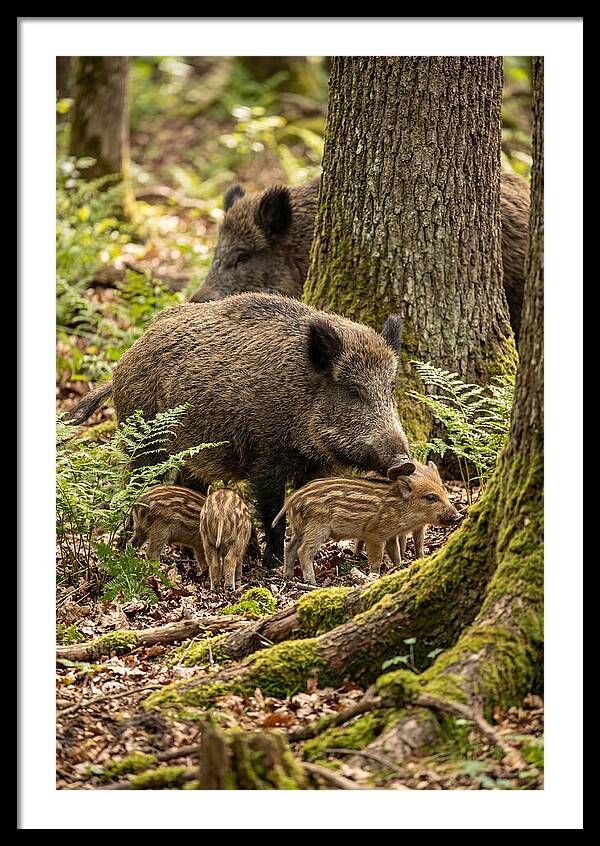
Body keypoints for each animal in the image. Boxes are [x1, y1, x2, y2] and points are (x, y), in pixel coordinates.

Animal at [65, 293, 413, 569]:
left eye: (390, 388)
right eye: (354, 391)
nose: (405, 463)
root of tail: (123, 361)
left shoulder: (316, 466)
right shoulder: (265, 458)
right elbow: (273, 512)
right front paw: (272, 564)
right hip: (146, 442)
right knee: (134, 486)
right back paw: (123, 548)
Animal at [272, 460, 460, 585]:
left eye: (443, 490)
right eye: (430, 497)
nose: (458, 516)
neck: (400, 507)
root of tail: (292, 499)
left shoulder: (390, 535)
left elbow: (395, 553)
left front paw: (399, 568)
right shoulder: (374, 534)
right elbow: (376, 558)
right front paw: (374, 576)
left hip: (300, 529)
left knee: (289, 548)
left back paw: (288, 577)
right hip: (316, 528)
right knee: (303, 551)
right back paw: (312, 582)